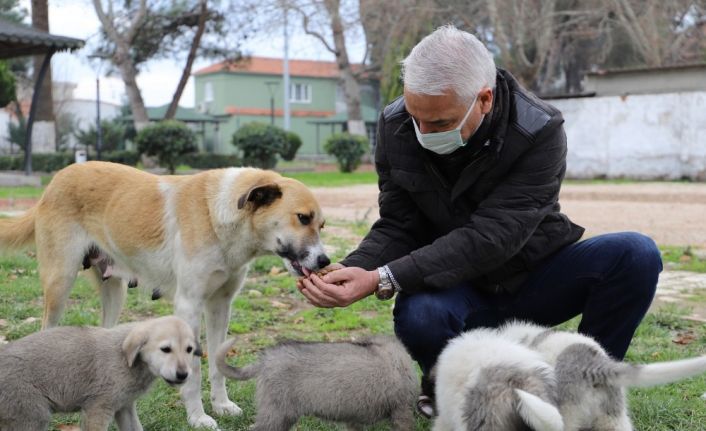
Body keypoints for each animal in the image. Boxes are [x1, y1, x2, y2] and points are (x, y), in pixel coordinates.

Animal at [0, 315, 199, 431]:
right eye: (166, 349)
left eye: (189, 350)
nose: (183, 375)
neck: (126, 359)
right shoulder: (98, 409)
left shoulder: (124, 406)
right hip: (32, 415)